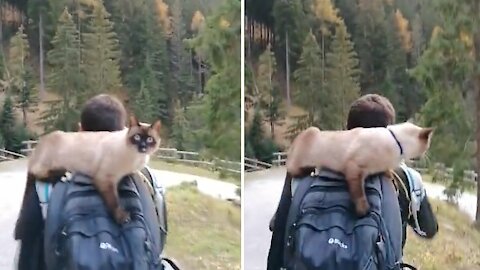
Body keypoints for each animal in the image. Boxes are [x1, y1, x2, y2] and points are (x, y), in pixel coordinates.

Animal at [24, 116, 162, 224]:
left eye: (149, 139)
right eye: (137, 137)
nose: (143, 147)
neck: (136, 158)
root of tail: (37, 146)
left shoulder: (132, 170)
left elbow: (140, 174)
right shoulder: (105, 179)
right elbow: (114, 201)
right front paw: (122, 217)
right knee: (38, 172)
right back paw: (66, 174)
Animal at [284, 121, 434, 216]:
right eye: (427, 144)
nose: (427, 154)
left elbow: (386, 171)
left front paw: (389, 174)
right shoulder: (354, 168)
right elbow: (359, 194)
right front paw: (363, 210)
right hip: (309, 141)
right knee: (293, 169)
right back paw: (311, 170)